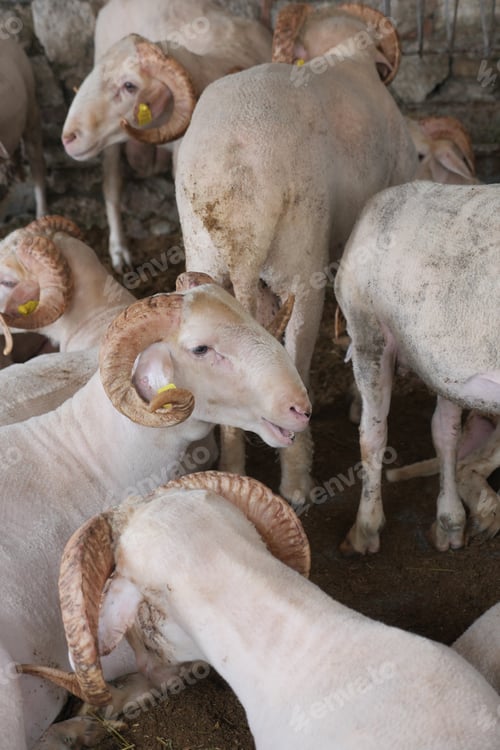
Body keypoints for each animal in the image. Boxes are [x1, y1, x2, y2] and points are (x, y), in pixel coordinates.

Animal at [174, 3, 418, 505]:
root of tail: (238, 190)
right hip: (300, 263)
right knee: (298, 354)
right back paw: (296, 482)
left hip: (204, 253)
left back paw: (234, 465)